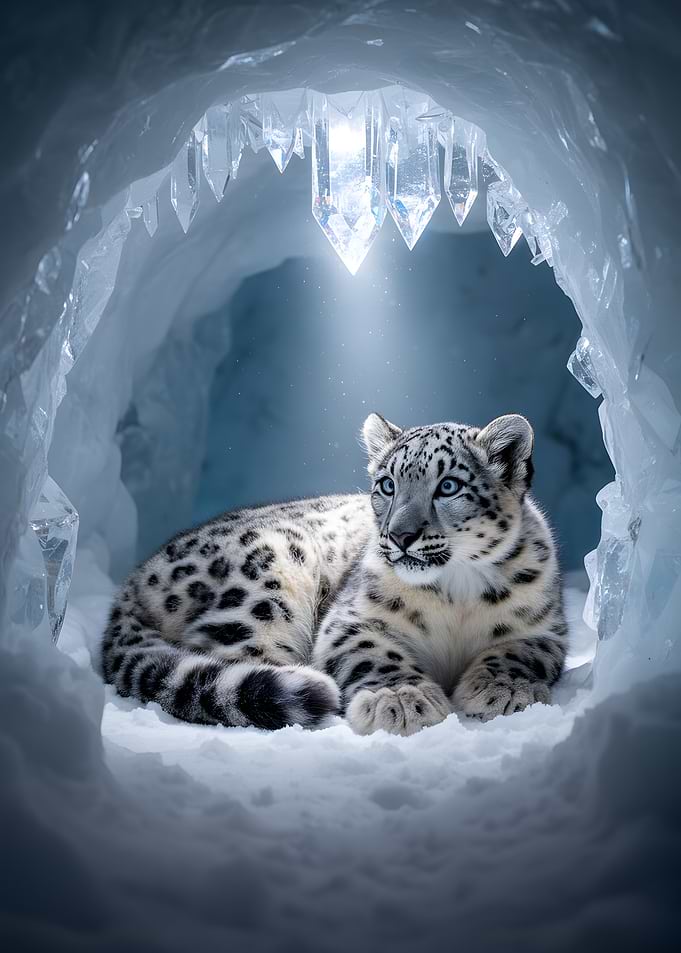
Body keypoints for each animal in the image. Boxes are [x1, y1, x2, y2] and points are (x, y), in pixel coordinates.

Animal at [100, 412, 567, 736]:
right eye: (387, 484)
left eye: (448, 486)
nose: (400, 535)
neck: (457, 592)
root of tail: (134, 580)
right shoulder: (350, 621)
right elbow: (376, 653)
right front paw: (401, 700)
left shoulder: (546, 628)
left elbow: (517, 652)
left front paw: (504, 692)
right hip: (269, 578)